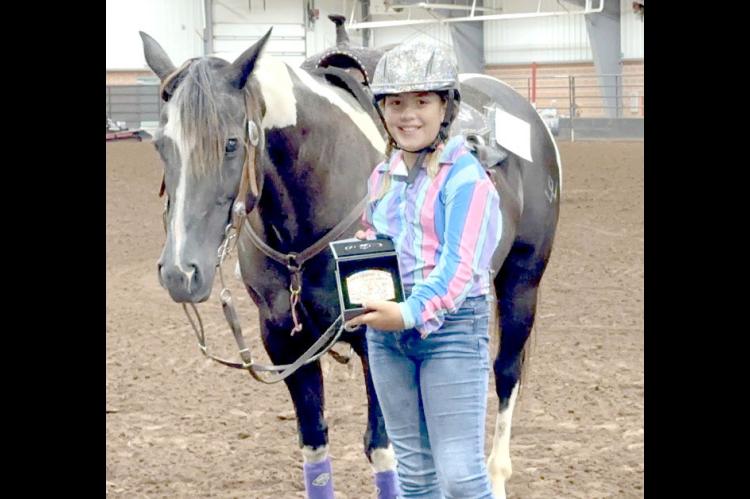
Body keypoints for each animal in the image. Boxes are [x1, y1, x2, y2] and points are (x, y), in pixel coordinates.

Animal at [140, 27, 560, 499]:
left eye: (231, 143)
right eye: (160, 144)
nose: (180, 272)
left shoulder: (373, 338)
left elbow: (383, 449)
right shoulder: (282, 340)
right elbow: (315, 443)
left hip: (523, 282)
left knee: (506, 374)